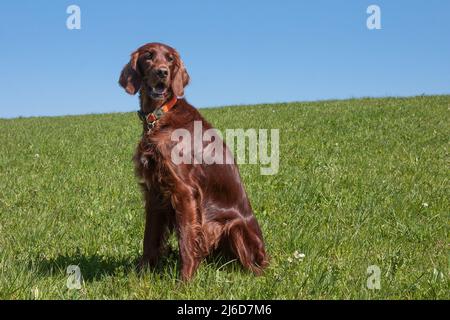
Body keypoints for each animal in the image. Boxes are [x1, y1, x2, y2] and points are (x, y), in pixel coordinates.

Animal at [118, 42, 268, 280]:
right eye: (148, 56)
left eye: (170, 59)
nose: (162, 72)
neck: (160, 116)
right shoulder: (154, 193)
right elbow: (149, 239)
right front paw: (142, 275)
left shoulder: (184, 192)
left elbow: (186, 241)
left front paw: (184, 281)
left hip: (233, 226)